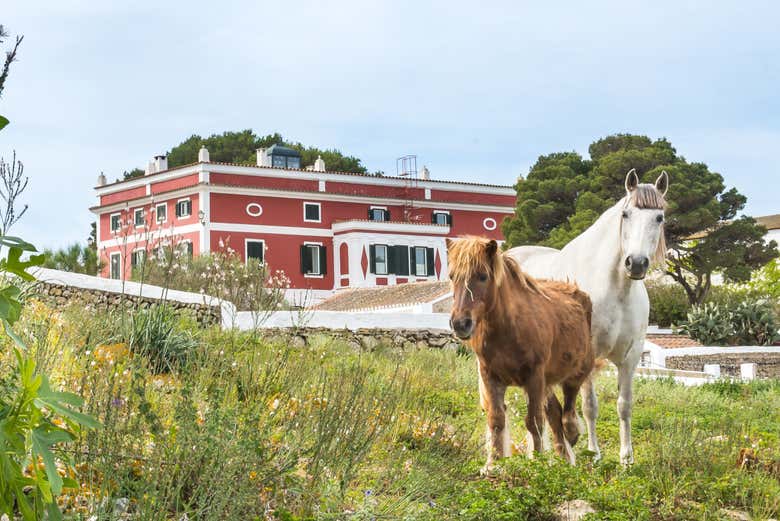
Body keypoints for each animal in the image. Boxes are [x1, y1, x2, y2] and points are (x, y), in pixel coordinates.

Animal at [448, 236, 596, 468]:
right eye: (452, 276)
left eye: (482, 276)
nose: (460, 323)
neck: (509, 328)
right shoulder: (491, 377)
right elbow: (497, 420)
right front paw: (494, 464)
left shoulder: (534, 377)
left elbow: (534, 422)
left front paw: (536, 462)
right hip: (547, 383)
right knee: (555, 413)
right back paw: (564, 457)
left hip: (577, 371)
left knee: (568, 405)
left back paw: (572, 434)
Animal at [508, 170, 668, 464]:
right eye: (626, 214)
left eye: (659, 217)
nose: (636, 263)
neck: (615, 289)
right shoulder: (587, 356)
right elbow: (589, 406)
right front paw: (593, 452)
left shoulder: (630, 357)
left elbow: (624, 405)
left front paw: (626, 458)